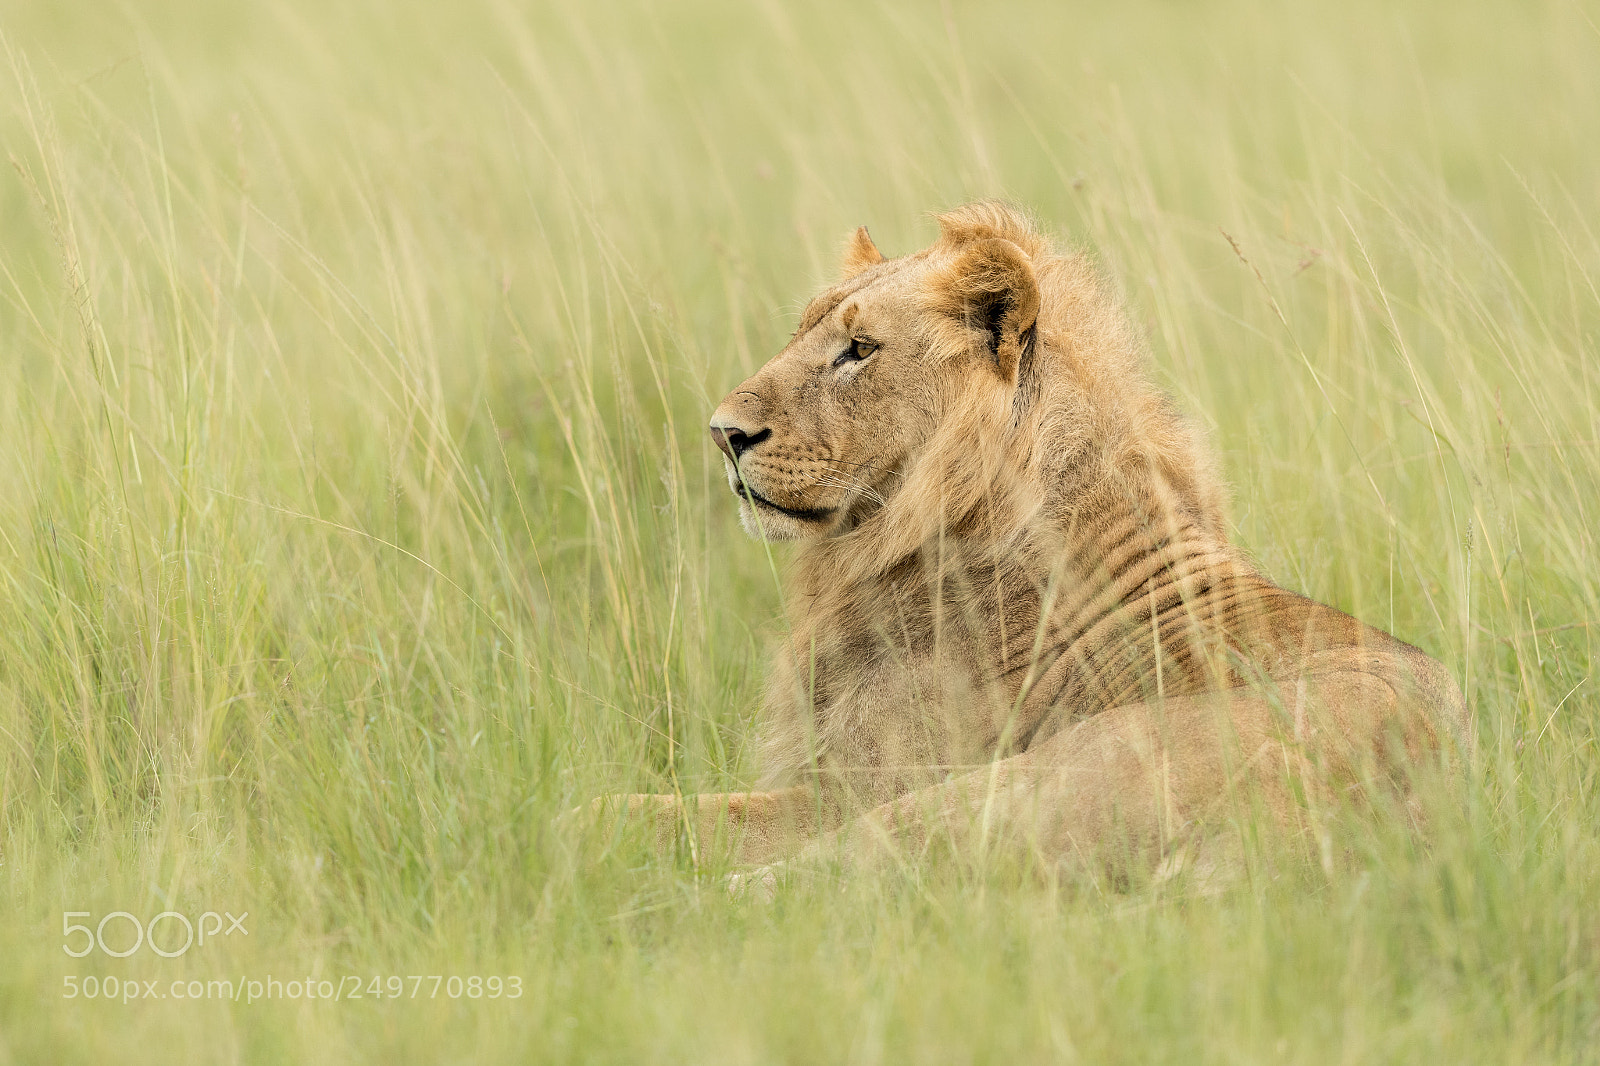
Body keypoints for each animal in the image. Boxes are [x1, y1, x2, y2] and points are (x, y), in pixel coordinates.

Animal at [597, 201, 1469, 885]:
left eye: (859, 350)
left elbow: (665, 813)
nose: (723, 434)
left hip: (1034, 775)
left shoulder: (865, 784)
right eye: (801, 334)